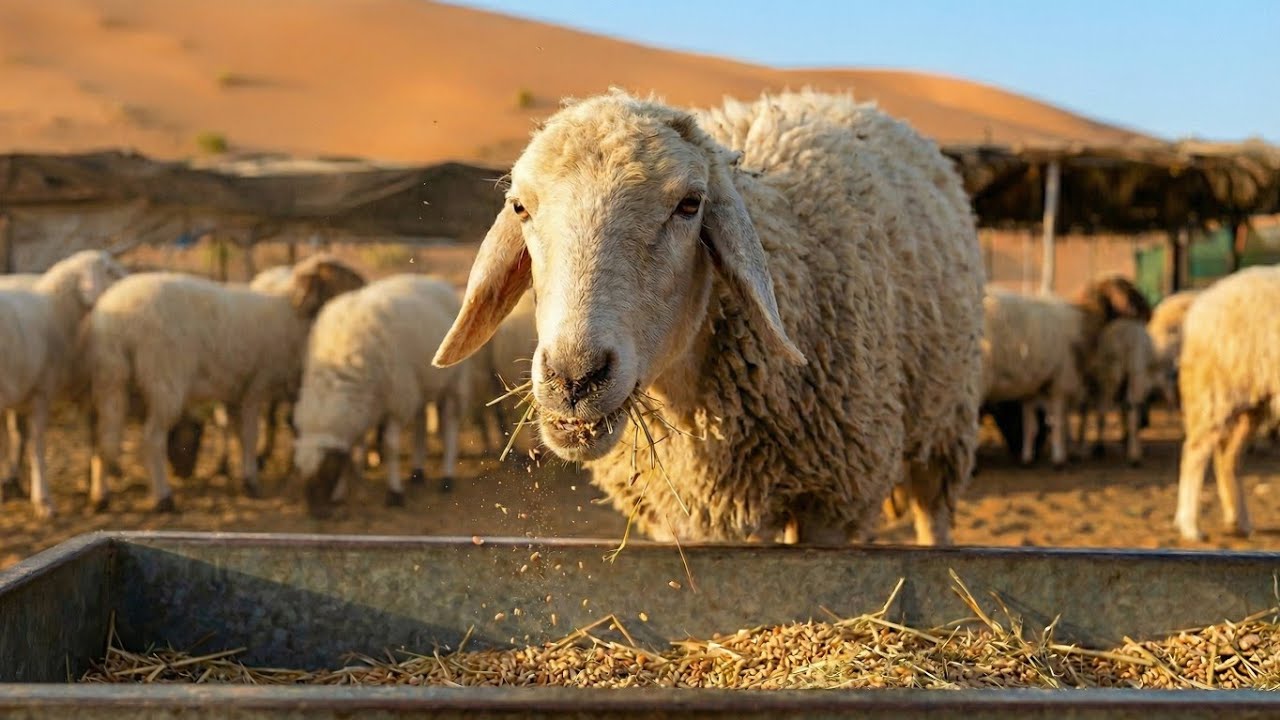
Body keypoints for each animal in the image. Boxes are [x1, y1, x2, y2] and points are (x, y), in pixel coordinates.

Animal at [86, 254, 364, 512]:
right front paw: (251, 480)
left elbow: (236, 432)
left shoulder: (235, 390)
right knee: (152, 439)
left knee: (102, 437)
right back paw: (164, 498)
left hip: (110, 378)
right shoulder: (256, 384)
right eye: (341, 279)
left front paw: (238, 473)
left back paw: (100, 496)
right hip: (164, 378)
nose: (364, 290)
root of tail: (116, 322)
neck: (290, 313)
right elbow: (249, 435)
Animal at [293, 274, 470, 516]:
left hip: (453, 381)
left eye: (325, 472)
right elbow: (353, 450)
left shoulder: (397, 402)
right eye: (300, 471)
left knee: (450, 423)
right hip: (419, 384)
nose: (316, 514)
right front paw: (340, 495)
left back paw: (447, 477)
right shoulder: (370, 406)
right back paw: (418, 472)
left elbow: (390, 447)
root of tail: (433, 280)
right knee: (421, 421)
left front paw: (394, 493)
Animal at [430, 88, 986, 546]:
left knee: (933, 513)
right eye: (520, 207)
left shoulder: (832, 498)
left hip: (948, 416)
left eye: (690, 204)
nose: (574, 377)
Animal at [1173, 265, 1280, 541]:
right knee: (1195, 452)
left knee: (1226, 457)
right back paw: (1190, 526)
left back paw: (1238, 521)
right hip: (1216, 389)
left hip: (1251, 402)